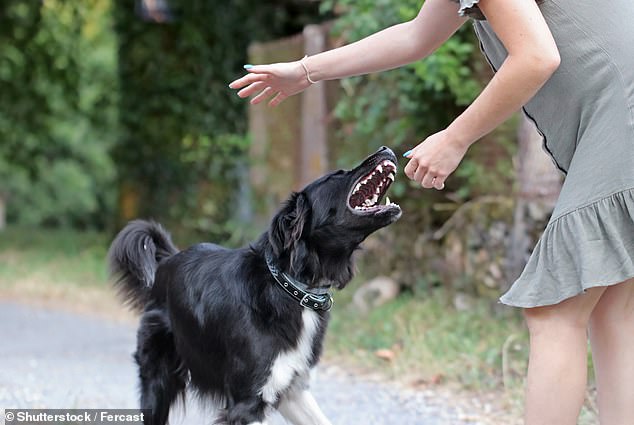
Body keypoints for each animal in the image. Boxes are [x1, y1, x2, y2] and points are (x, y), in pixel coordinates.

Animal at [108, 147, 400, 424]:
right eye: (337, 175)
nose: (386, 148)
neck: (289, 287)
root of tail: (167, 262)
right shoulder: (246, 404)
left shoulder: (292, 389)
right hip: (158, 381)